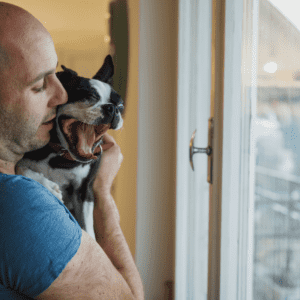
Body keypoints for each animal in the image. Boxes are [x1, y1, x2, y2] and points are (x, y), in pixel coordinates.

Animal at [14, 54, 123, 239]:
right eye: (89, 96)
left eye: (121, 105)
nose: (114, 108)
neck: (61, 154)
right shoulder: (24, 158)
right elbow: (20, 167)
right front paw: (49, 186)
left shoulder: (85, 192)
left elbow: (88, 227)